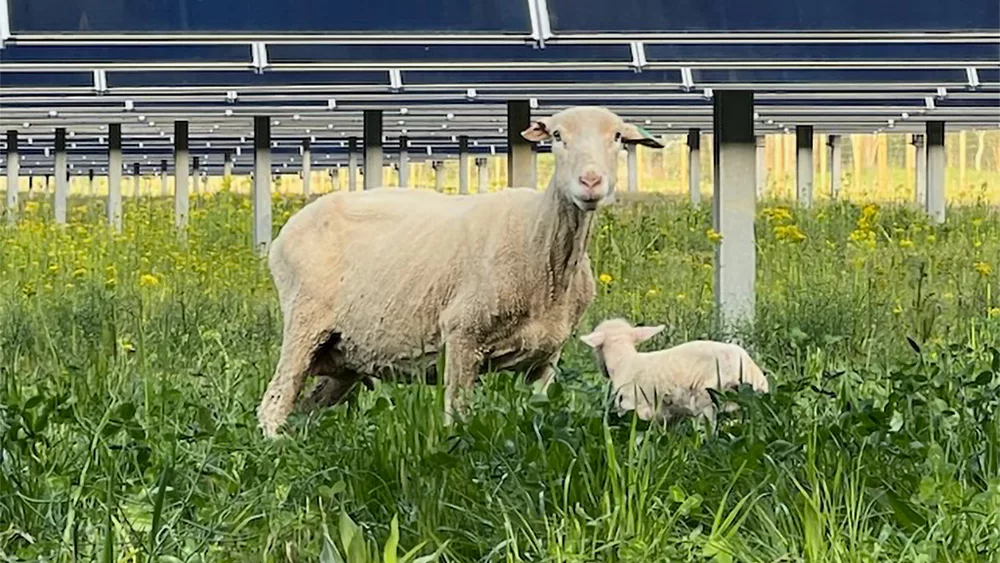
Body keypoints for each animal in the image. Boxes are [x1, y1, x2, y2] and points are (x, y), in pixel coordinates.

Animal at [256, 107, 664, 440]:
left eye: (618, 137)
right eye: (557, 136)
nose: (591, 182)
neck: (541, 241)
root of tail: (285, 234)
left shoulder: (546, 358)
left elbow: (537, 409)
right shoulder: (463, 334)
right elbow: (458, 416)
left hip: (344, 355)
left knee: (302, 407)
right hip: (305, 323)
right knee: (273, 403)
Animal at [580, 320, 764, 426]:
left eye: (596, 349)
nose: (603, 372)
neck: (624, 361)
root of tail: (749, 370)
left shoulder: (632, 407)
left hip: (708, 396)